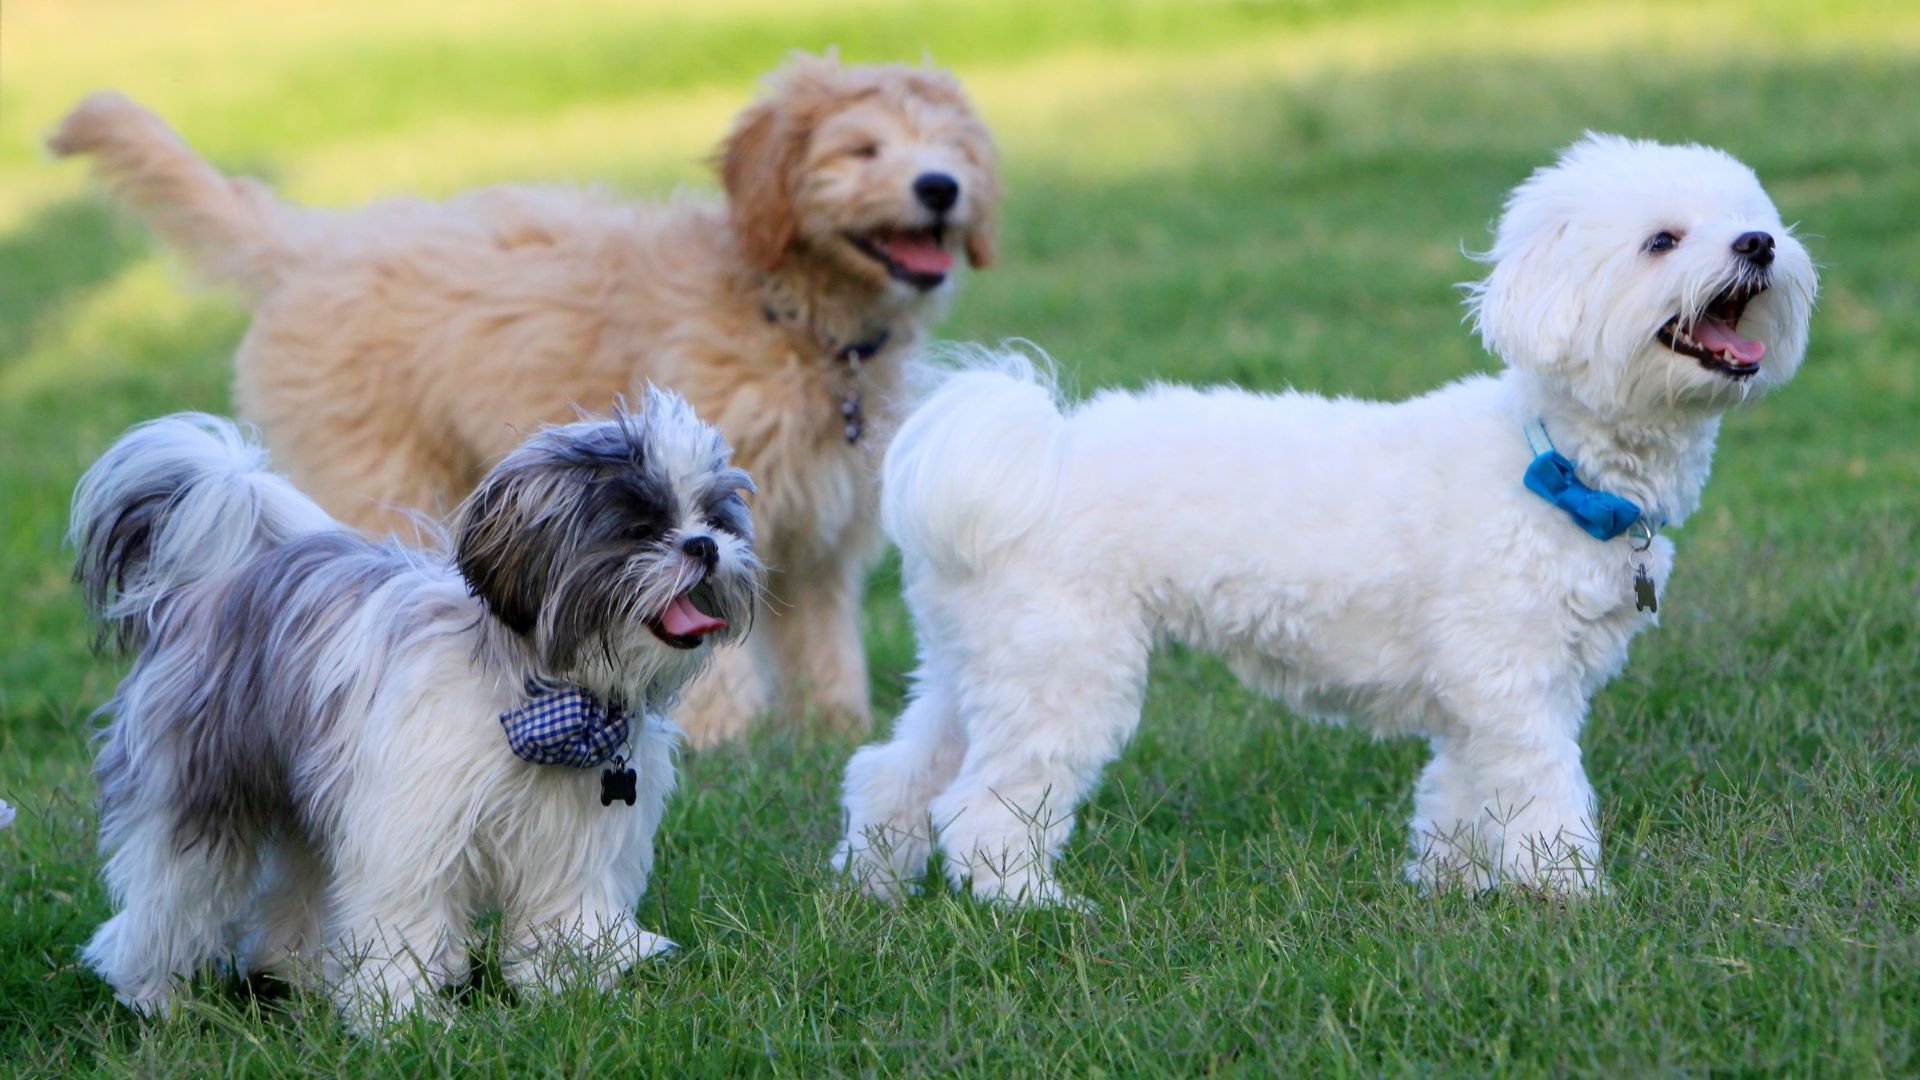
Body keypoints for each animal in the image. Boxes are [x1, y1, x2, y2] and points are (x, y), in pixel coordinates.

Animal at [50, 56, 998, 737]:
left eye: (949, 148)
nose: (940, 188)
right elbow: (702, 623)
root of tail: (315, 243)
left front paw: (837, 730)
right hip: (378, 473)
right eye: (862, 150)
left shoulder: (820, 531)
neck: (790, 313)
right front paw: (722, 735)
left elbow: (825, 639)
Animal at [74, 388, 764, 1022]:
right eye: (640, 529)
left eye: (716, 519)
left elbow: (565, 917)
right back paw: (155, 994)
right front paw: (402, 1018)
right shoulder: (409, 831)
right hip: (201, 789)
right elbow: (403, 923)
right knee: (171, 897)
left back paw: (301, 976)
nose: (703, 546)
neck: (544, 699)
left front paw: (573, 993)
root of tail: (221, 581)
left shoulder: (573, 841)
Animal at [837, 134, 1812, 899]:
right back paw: (1025, 905)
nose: (1760, 244)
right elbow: (1544, 800)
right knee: (981, 806)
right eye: (1661, 240)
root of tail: (1030, 452)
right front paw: (1566, 897)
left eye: (1749, 216)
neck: (1554, 464)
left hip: (977, 664)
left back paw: (873, 889)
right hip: (1064, 669)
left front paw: (1454, 889)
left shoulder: (1483, 701)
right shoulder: (1514, 686)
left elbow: (1459, 799)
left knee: (894, 774)